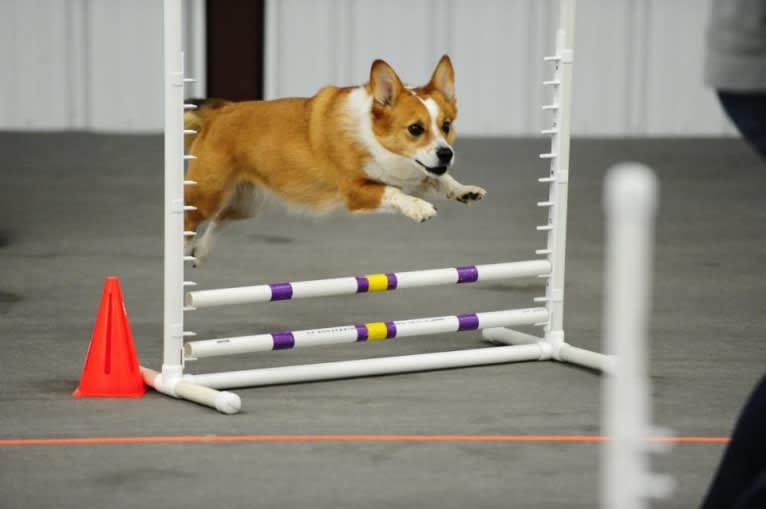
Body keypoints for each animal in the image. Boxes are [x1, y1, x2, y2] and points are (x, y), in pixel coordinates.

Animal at [183, 54, 488, 266]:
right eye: (415, 129)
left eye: (446, 126)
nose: (446, 153)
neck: (373, 138)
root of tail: (217, 112)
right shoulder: (357, 191)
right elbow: (393, 193)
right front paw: (419, 208)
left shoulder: (415, 174)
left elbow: (440, 179)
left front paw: (465, 190)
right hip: (206, 195)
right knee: (190, 222)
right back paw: (186, 255)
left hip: (247, 204)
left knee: (221, 218)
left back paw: (201, 252)